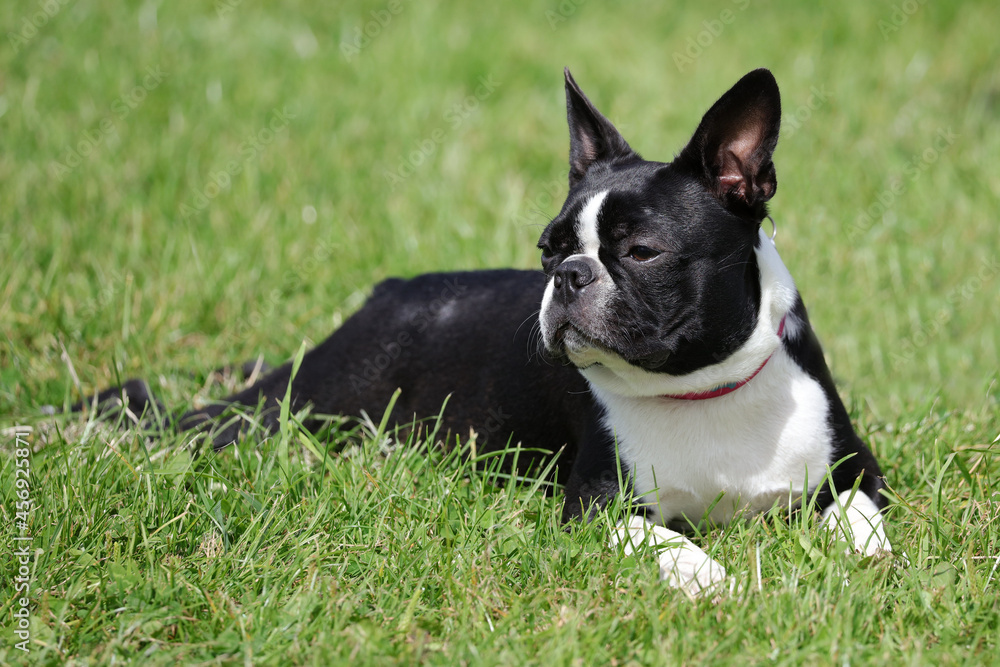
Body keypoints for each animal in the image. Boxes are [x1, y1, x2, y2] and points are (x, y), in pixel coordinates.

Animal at [84, 68, 892, 592]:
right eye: (548, 248)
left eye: (640, 251)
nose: (568, 275)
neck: (702, 389)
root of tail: (387, 292)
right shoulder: (597, 503)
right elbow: (658, 536)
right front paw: (708, 572)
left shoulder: (857, 467)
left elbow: (859, 514)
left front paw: (867, 558)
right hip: (297, 406)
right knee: (184, 415)